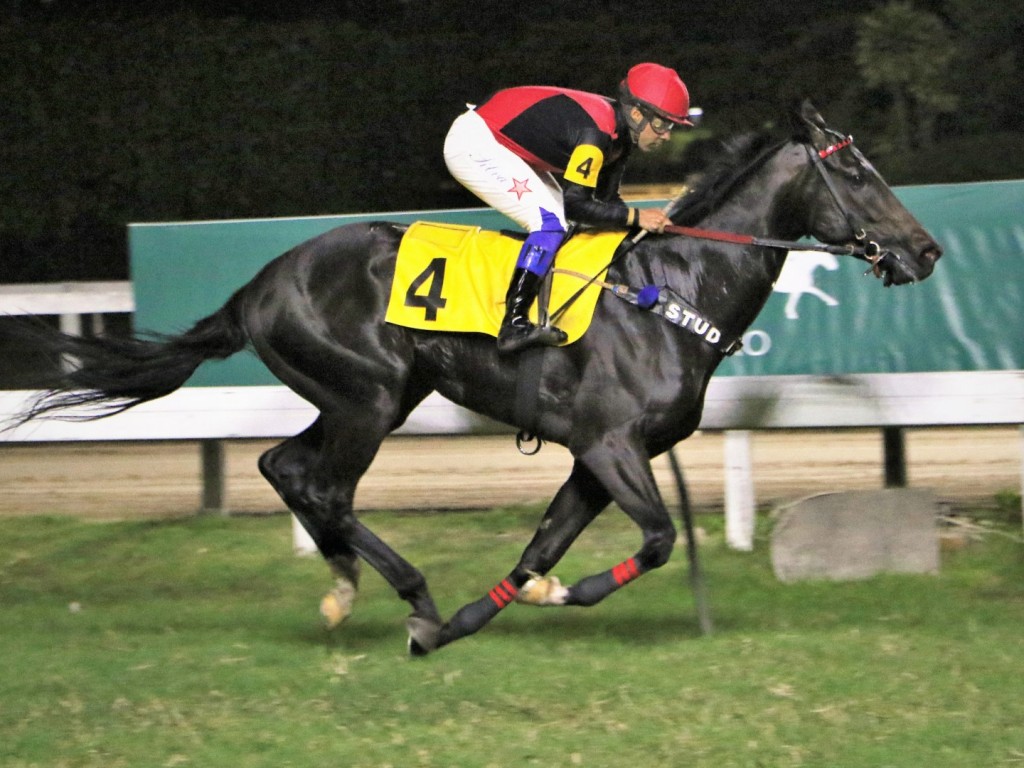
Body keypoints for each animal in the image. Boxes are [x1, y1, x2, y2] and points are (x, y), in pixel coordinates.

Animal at [4, 102, 937, 655]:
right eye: (853, 170)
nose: (925, 250)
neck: (669, 292)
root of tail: (259, 284)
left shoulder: (592, 459)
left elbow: (539, 548)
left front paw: (475, 619)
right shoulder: (610, 445)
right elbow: (657, 539)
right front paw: (552, 594)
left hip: (367, 395)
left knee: (284, 467)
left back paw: (350, 588)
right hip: (370, 396)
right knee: (322, 485)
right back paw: (404, 593)